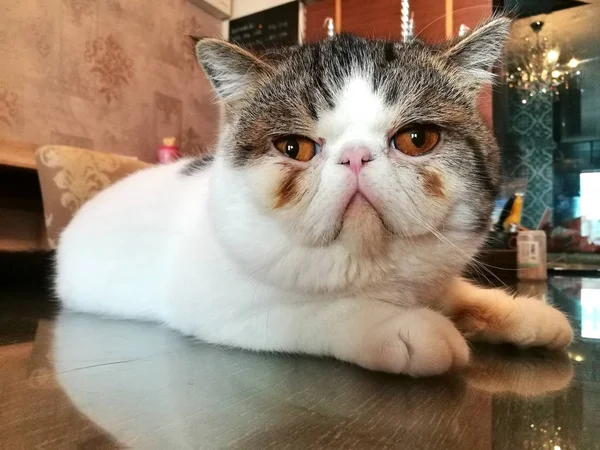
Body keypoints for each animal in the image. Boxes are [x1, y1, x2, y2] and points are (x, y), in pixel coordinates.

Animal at [54, 16, 576, 376]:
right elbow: (317, 311)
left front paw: (525, 313)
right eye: (294, 147)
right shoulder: (220, 307)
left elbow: (461, 293)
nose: (356, 156)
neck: (368, 263)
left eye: (416, 139)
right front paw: (402, 326)